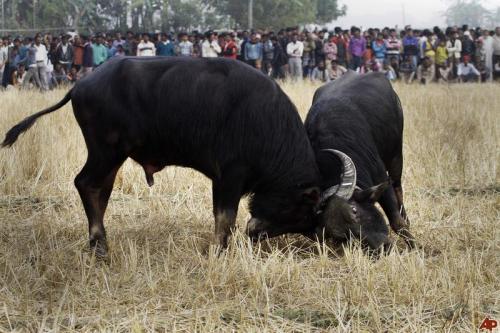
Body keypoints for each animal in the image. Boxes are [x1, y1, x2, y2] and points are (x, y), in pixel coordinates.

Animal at [2, 56, 336, 254]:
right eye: (305, 209)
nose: (316, 235)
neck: (266, 120)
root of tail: (81, 84)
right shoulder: (228, 176)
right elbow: (225, 218)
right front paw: (220, 251)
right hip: (106, 151)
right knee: (85, 184)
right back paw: (99, 244)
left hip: (110, 157)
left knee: (100, 190)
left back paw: (101, 241)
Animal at [306, 71, 416, 250]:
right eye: (343, 235)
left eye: (354, 210)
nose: (383, 247)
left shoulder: (381, 177)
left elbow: (397, 222)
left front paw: (415, 247)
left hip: (396, 155)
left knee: (398, 187)